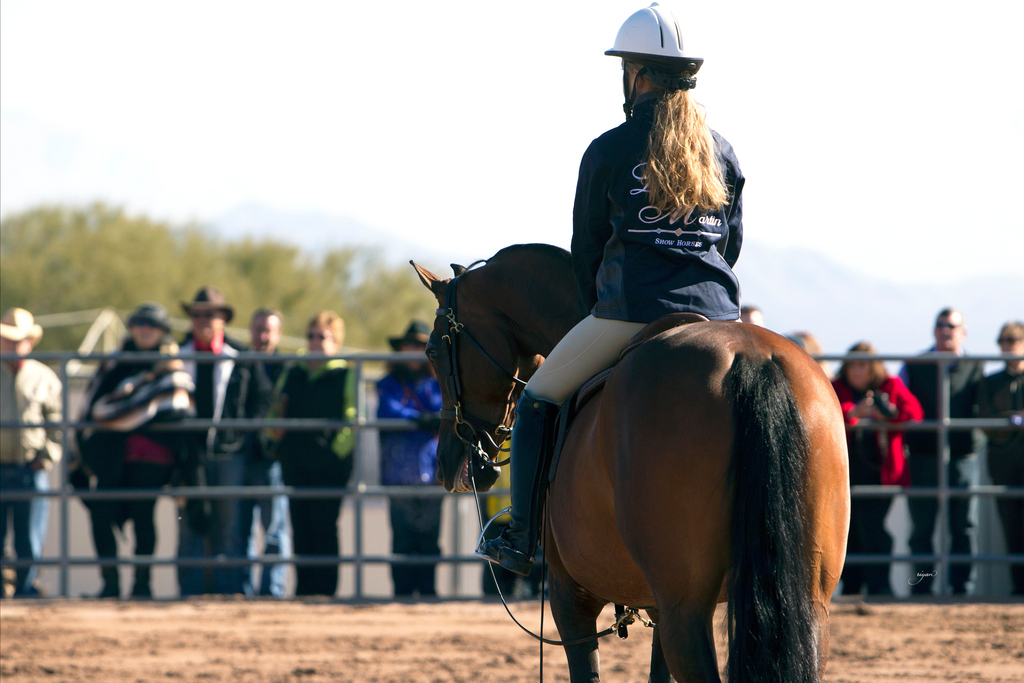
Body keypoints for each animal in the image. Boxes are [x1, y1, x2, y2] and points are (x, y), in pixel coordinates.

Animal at [412, 244, 849, 682]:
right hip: (807, 607)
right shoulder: (654, 603)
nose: (447, 463)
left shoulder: (571, 594)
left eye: (433, 351)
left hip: (685, 608)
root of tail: (750, 356)